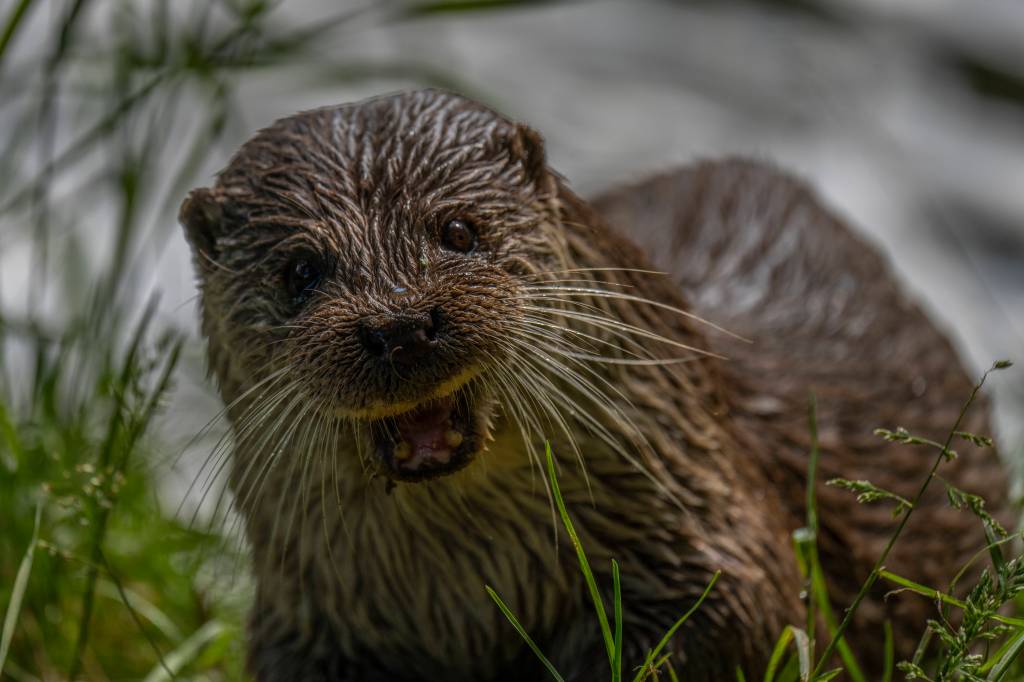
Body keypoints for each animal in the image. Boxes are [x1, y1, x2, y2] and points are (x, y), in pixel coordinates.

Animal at [178, 90, 1007, 679]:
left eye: (458, 230)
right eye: (300, 271)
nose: (400, 323)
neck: (467, 587)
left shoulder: (720, 548)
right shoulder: (307, 620)